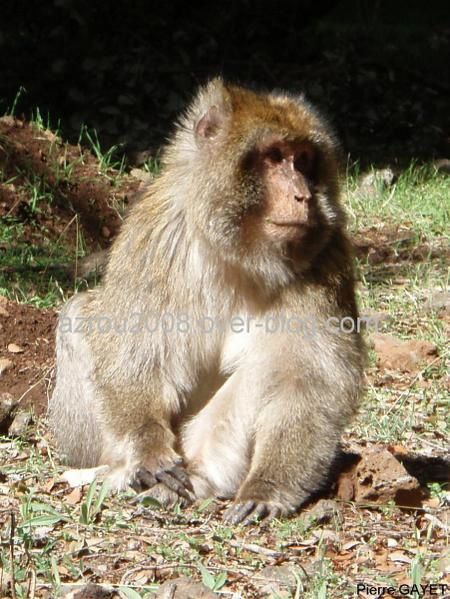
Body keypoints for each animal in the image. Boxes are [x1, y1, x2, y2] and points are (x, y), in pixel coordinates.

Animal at [49, 77, 366, 524]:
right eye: (273, 157)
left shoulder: (326, 255)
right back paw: (127, 474)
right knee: (78, 316)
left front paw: (268, 487)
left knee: (265, 367)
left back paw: (197, 479)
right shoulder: (160, 233)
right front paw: (149, 450)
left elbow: (307, 378)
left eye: (303, 160)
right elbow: (130, 345)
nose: (303, 196)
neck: (240, 253)